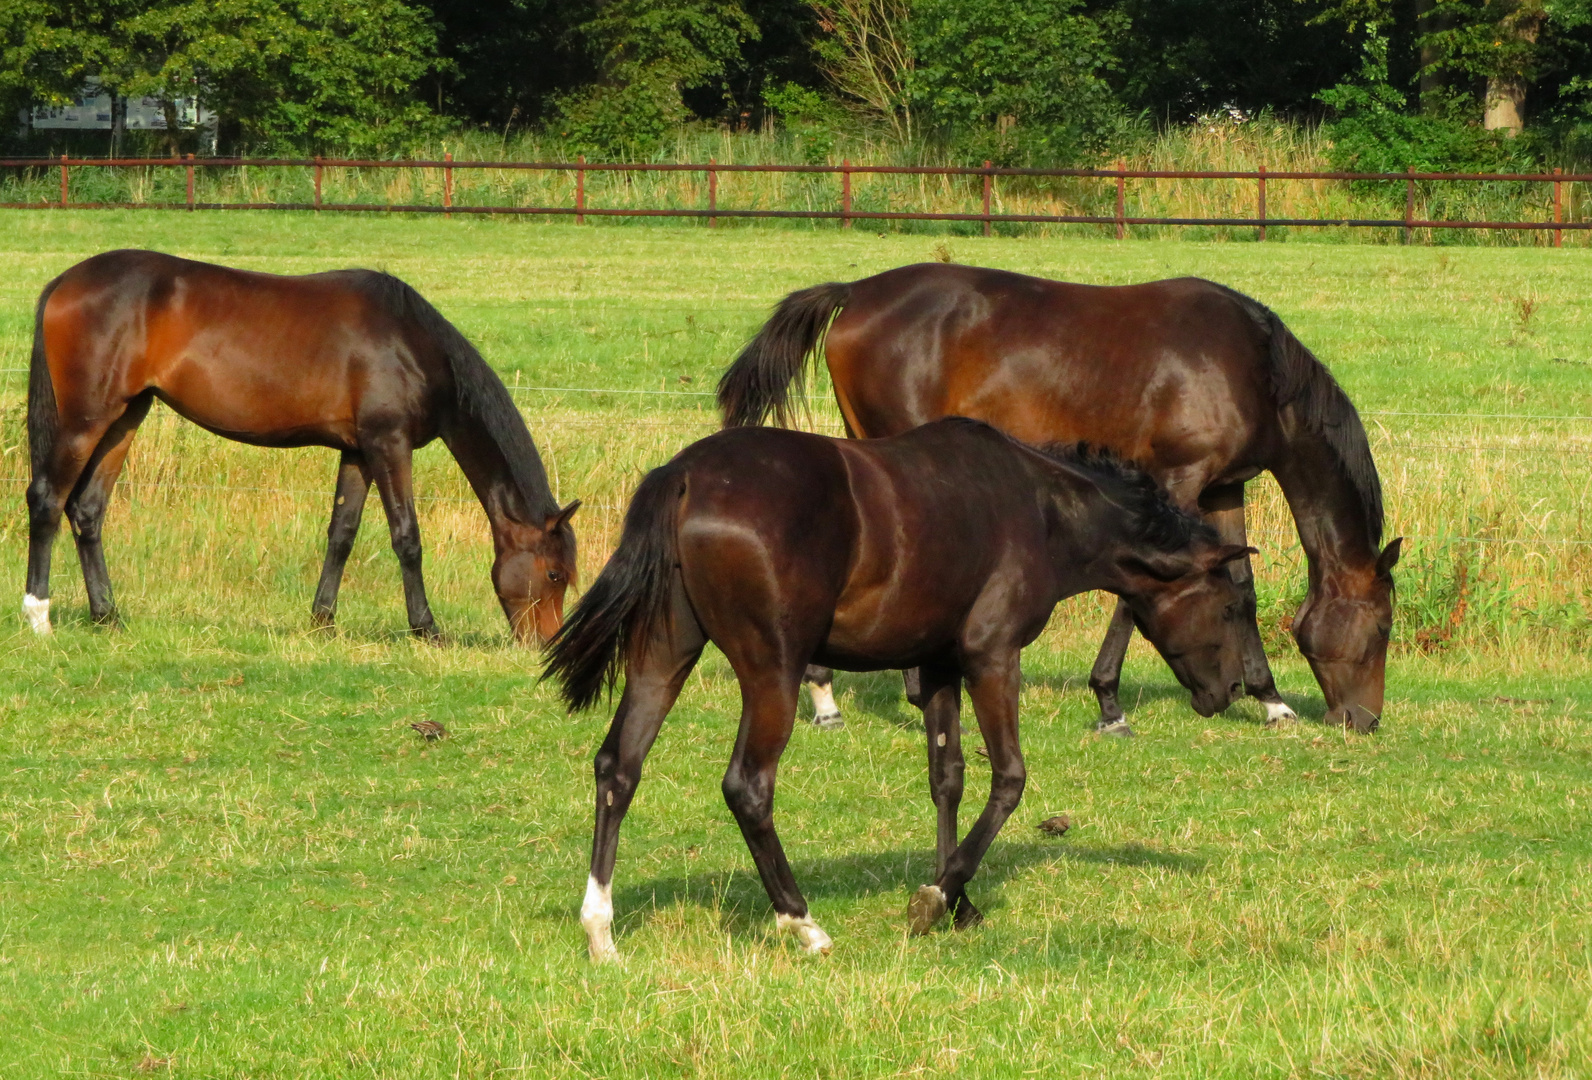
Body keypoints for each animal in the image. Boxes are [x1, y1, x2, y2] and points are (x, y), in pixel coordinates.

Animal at [24, 246, 582, 643]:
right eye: (555, 574)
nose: (544, 644)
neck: (409, 342)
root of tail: (63, 283)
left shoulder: (358, 451)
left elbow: (342, 534)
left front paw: (323, 621)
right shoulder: (388, 443)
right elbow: (407, 536)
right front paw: (425, 628)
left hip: (126, 417)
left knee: (88, 510)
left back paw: (107, 616)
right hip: (87, 420)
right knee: (48, 499)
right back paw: (38, 616)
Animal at [547, 417, 1254, 962]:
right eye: (1228, 606)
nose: (1226, 693)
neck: (1040, 507)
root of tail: (686, 474)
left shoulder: (939, 666)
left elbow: (949, 778)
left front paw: (959, 901)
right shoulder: (992, 658)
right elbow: (1009, 777)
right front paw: (935, 899)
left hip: (664, 656)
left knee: (618, 766)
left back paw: (601, 931)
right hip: (772, 672)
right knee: (747, 787)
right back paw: (803, 923)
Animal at [716, 262, 1400, 735]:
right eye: (1383, 627)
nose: (1363, 720)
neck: (1254, 368)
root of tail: (856, 292)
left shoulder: (1224, 485)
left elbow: (1241, 585)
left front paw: (1271, 700)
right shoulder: (1177, 479)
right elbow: (1138, 591)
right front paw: (1110, 704)